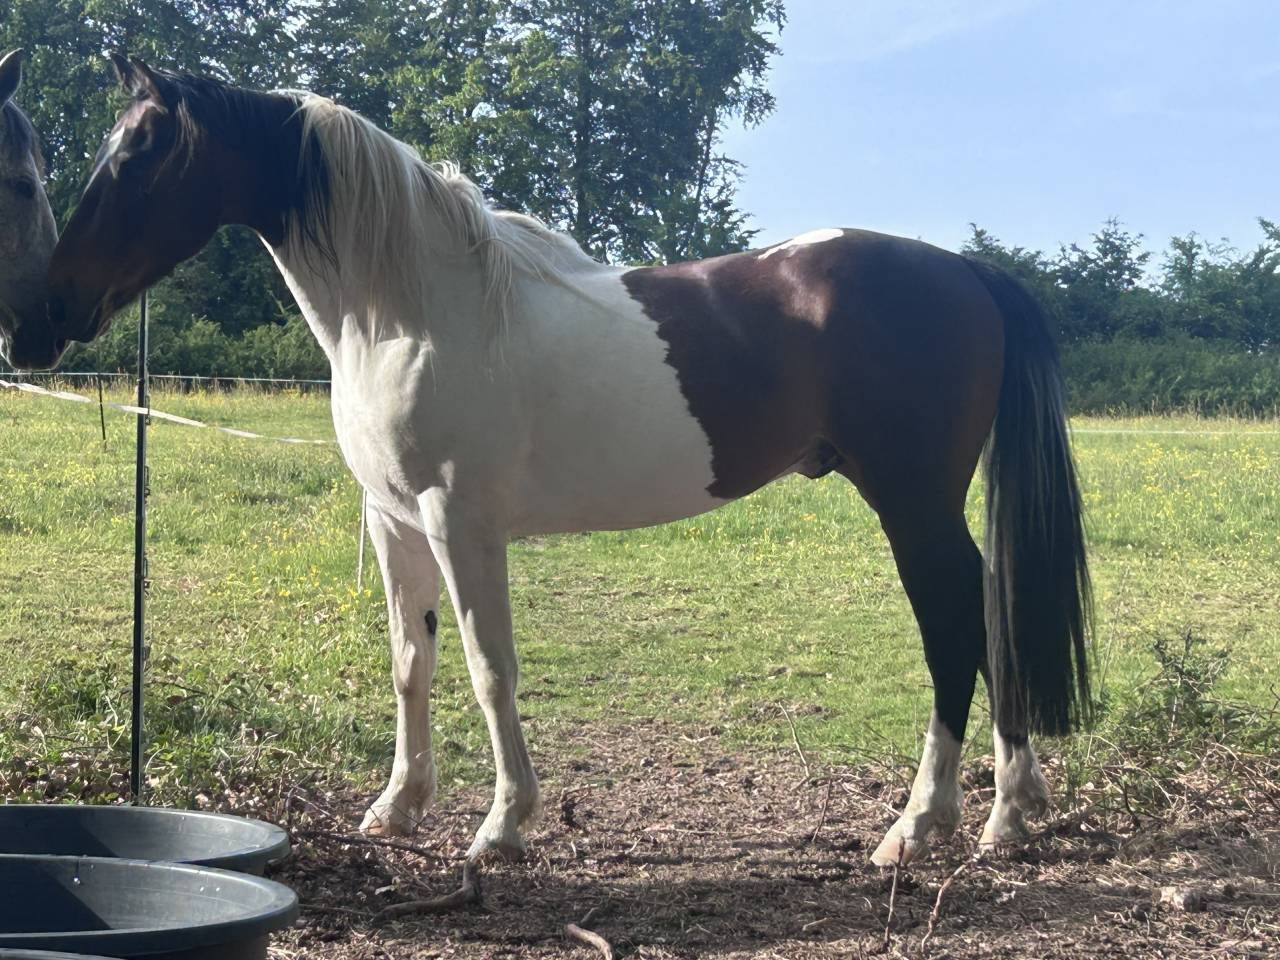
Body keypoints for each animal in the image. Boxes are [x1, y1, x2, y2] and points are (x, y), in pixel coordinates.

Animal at [44, 56, 1091, 865]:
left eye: (137, 156)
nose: (51, 305)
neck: (414, 310)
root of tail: (966, 270)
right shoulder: (392, 521)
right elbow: (410, 663)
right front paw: (398, 806)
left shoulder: (460, 524)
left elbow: (488, 670)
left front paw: (503, 826)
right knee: (989, 615)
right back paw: (1009, 811)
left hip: (912, 504)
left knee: (957, 624)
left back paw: (929, 823)